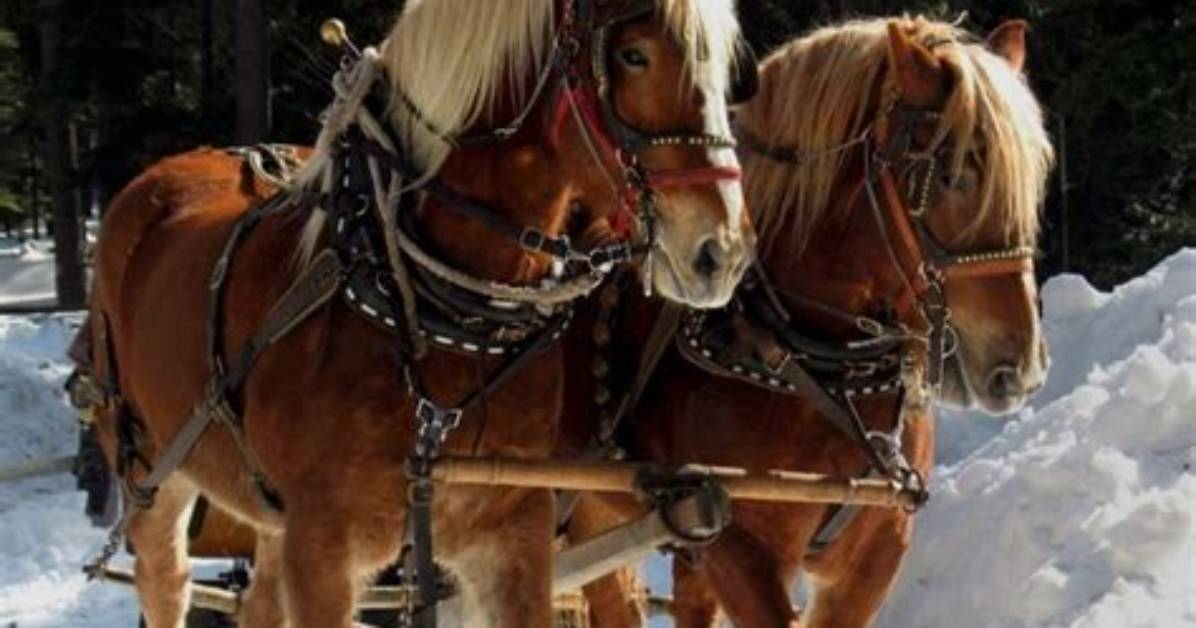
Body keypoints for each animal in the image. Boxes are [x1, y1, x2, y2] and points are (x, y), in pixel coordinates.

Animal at [80, 1, 756, 627]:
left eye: (726, 73)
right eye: (634, 55)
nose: (721, 252)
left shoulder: (510, 532)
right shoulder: (322, 548)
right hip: (152, 472)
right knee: (166, 582)